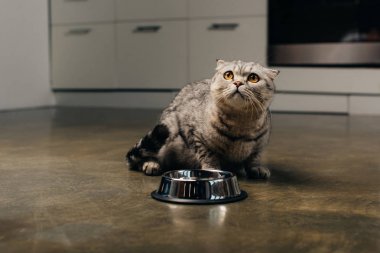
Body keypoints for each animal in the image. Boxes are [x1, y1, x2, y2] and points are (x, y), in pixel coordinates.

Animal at [126, 59, 278, 179]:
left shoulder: (260, 145)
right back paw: (151, 164)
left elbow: (254, 159)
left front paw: (256, 168)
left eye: (253, 78)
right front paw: (212, 169)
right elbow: (208, 155)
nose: (237, 83)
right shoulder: (195, 135)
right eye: (228, 75)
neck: (240, 123)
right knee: (142, 156)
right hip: (167, 129)